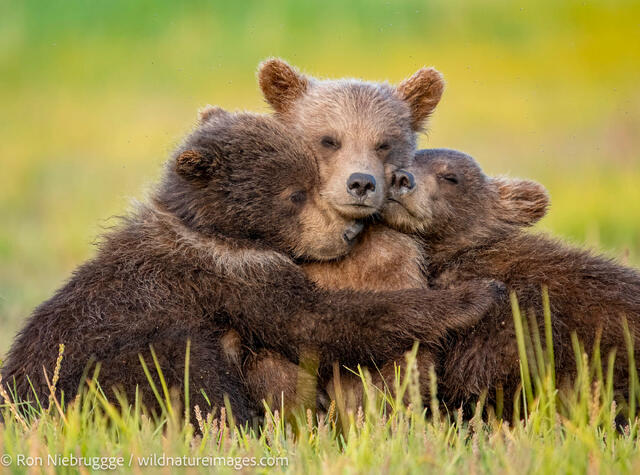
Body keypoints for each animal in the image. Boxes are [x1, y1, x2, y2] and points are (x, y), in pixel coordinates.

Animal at [1, 112, 502, 424]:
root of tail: (19, 406)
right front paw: (475, 295)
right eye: (295, 194)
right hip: (89, 378)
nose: (347, 232)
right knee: (185, 365)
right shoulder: (230, 274)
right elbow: (317, 321)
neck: (220, 231)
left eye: (315, 178)